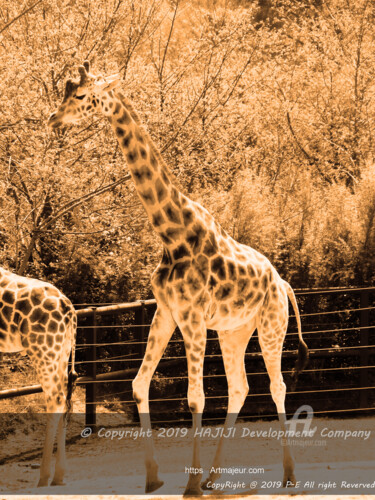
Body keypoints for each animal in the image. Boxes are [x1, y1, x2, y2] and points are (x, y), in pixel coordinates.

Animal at [0, 268, 77, 486]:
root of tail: (70, 310)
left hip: (43, 351)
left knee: (55, 400)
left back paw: (44, 476)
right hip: (61, 351)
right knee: (64, 400)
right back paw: (59, 475)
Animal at [48, 62, 310, 496]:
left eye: (82, 96)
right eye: (65, 92)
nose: (53, 118)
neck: (172, 232)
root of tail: (283, 283)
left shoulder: (192, 317)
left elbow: (195, 398)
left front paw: (188, 484)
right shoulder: (166, 311)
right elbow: (139, 385)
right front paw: (154, 475)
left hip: (272, 326)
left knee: (277, 387)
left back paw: (288, 475)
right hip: (234, 332)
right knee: (240, 388)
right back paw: (214, 476)